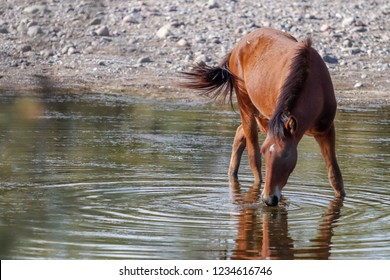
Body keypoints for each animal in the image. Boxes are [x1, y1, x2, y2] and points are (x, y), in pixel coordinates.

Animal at [180, 27, 344, 206]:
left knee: (240, 133)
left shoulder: (325, 129)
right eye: (265, 153)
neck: (314, 87)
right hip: (247, 107)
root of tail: (237, 47)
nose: (269, 199)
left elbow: (335, 176)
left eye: (286, 155)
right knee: (253, 159)